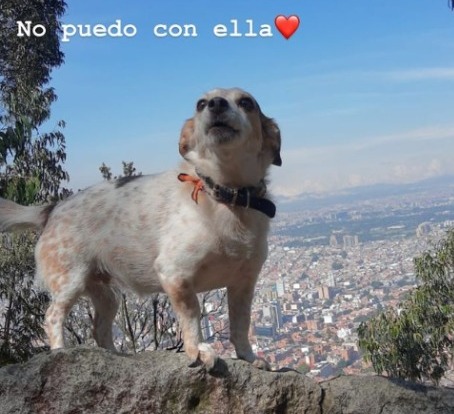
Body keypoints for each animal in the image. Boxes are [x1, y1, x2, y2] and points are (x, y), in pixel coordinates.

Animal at [0, 87, 280, 368]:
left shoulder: (244, 283)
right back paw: (60, 351)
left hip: (106, 294)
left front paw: (248, 357)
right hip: (70, 280)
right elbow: (191, 315)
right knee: (52, 316)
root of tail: (53, 208)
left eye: (246, 102)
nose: (216, 104)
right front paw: (198, 350)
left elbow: (241, 324)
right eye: (200, 104)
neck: (227, 196)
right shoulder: (175, 274)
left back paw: (116, 356)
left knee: (99, 329)